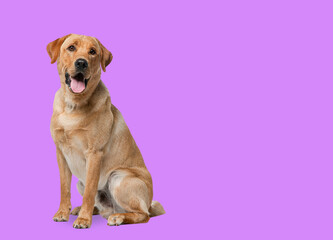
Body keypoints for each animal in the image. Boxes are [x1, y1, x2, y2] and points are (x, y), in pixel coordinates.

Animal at [46, 33, 165, 229]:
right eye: (71, 48)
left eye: (92, 52)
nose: (81, 63)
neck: (73, 106)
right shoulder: (60, 153)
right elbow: (64, 189)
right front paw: (62, 213)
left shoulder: (94, 154)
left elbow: (89, 191)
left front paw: (84, 220)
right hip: (81, 182)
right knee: (103, 206)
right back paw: (88, 210)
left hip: (119, 178)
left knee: (143, 215)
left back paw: (118, 217)